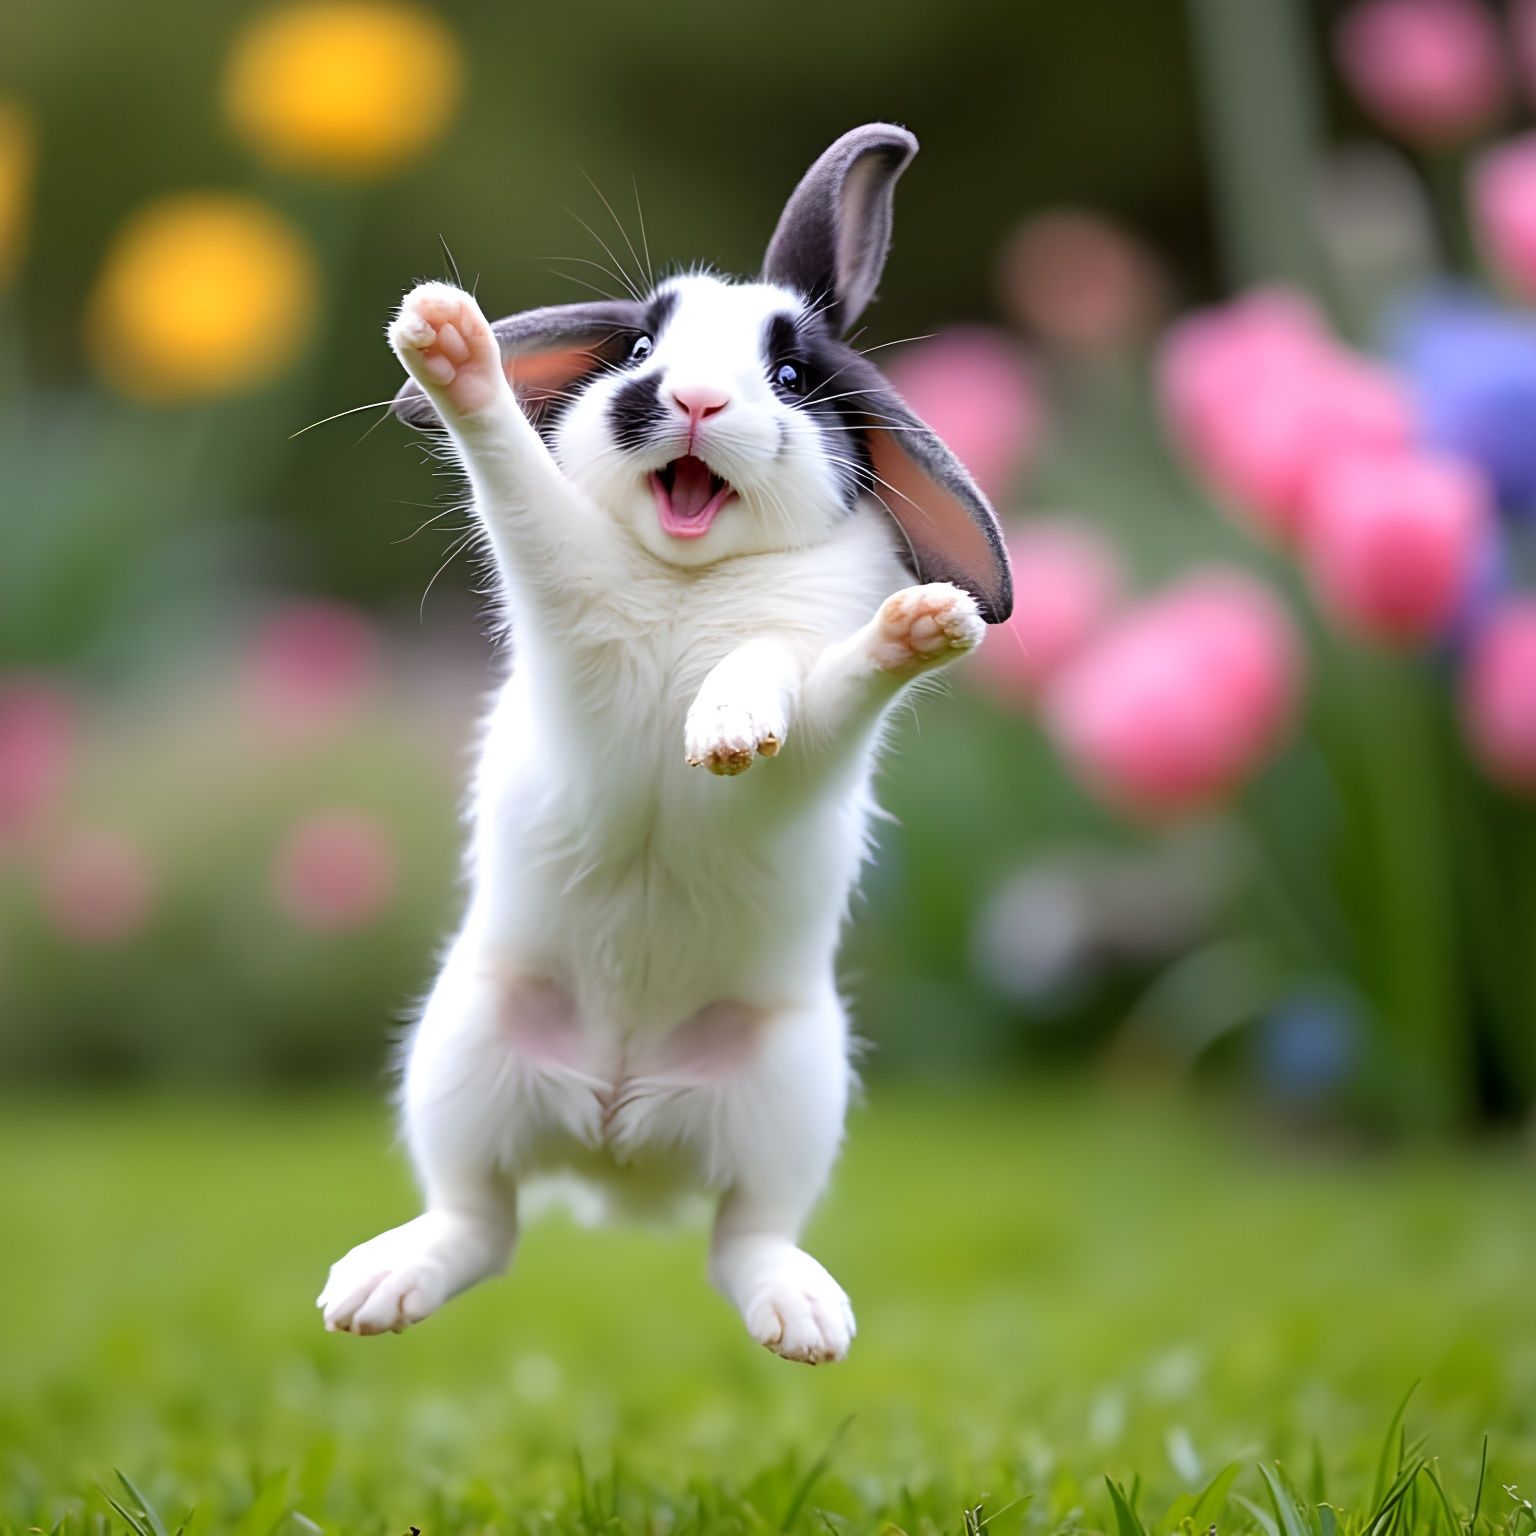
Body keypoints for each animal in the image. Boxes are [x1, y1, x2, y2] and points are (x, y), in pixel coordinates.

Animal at [316, 123, 1013, 1364]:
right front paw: (445, 339)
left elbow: (808, 684)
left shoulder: (808, 719)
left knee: (741, 1239)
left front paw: (898, 640)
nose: (689, 399)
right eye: (640, 347)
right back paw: (376, 1288)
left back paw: (803, 1319)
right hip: (461, 1057)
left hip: (792, 1093)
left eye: (791, 377)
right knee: (479, 1221)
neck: (694, 583)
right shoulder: (565, 595)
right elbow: (524, 490)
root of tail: (615, 1144)